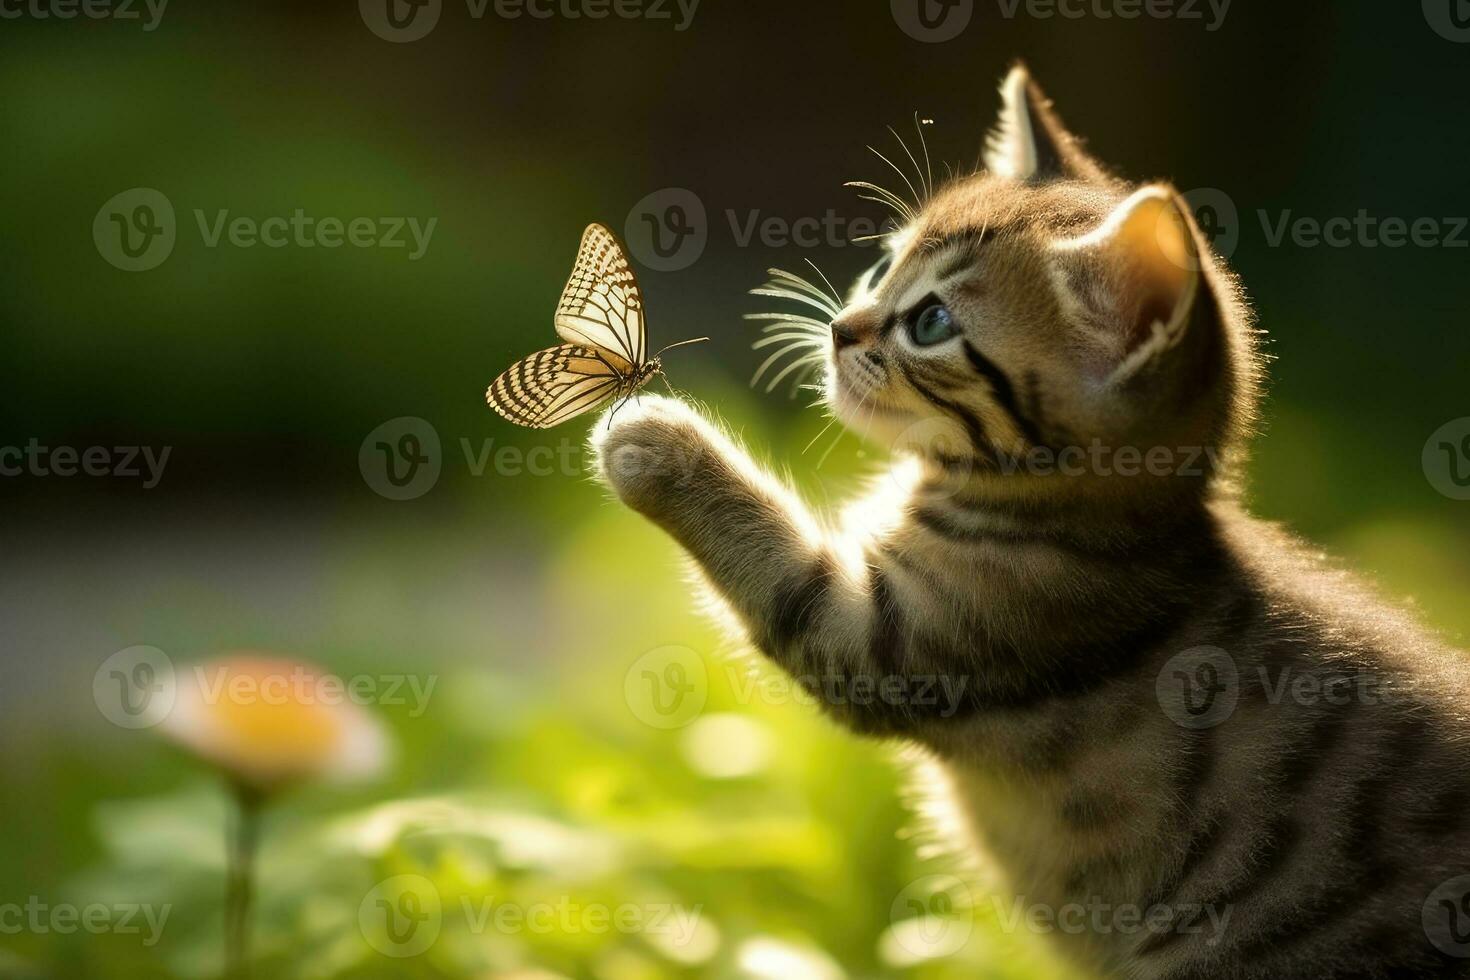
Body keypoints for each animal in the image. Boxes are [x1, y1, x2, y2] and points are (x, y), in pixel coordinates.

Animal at [588, 65, 1470, 975]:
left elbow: (786, 580)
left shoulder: (903, 640)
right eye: (883, 263)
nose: (839, 329)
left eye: (931, 322)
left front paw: (655, 442)